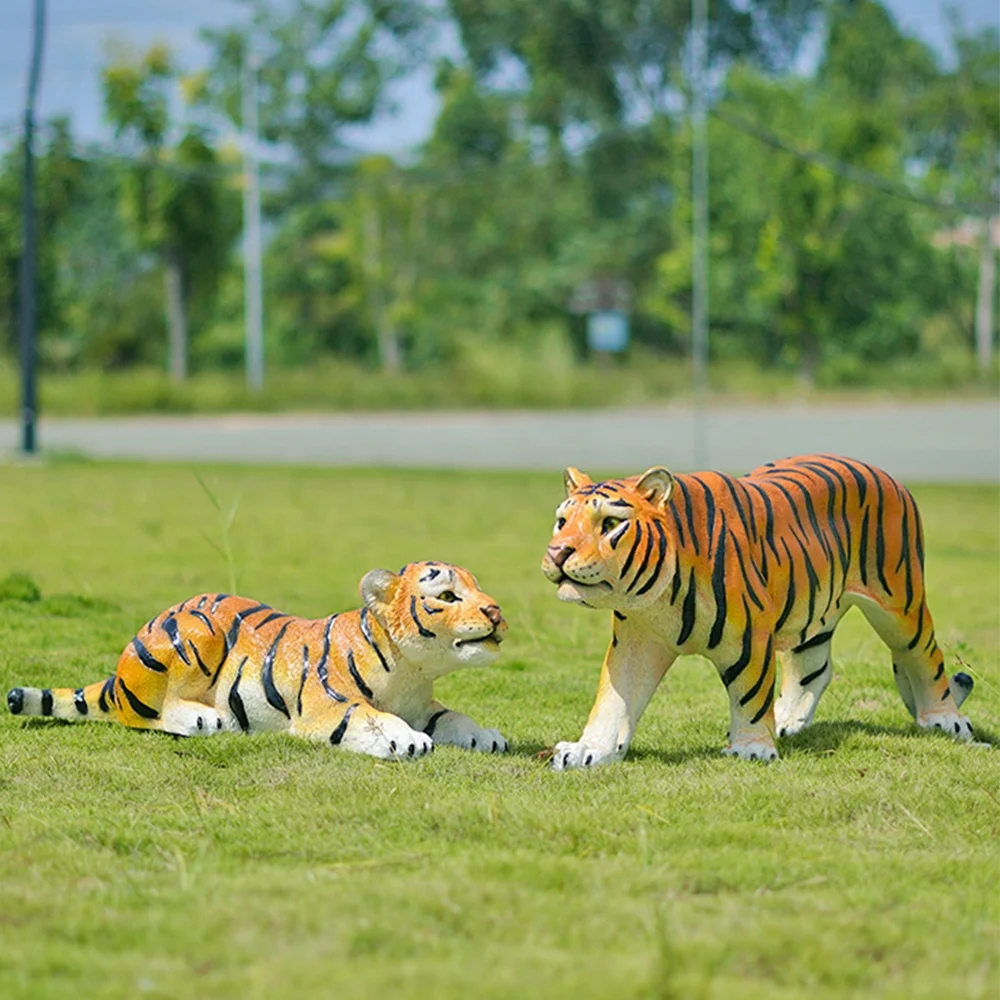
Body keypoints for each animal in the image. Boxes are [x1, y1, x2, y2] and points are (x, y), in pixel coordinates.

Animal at [7, 562, 509, 759]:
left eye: (477, 586)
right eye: (447, 595)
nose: (496, 611)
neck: (411, 669)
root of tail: (118, 672)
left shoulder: (423, 705)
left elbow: (454, 718)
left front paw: (487, 735)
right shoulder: (326, 707)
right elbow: (368, 717)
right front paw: (402, 740)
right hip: (197, 632)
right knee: (145, 713)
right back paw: (202, 718)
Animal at [541, 454, 979, 768]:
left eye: (610, 524)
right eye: (562, 521)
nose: (557, 552)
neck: (657, 594)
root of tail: (888, 475)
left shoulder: (748, 639)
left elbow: (749, 694)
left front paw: (751, 748)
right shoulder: (637, 641)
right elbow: (614, 699)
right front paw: (588, 750)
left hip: (900, 603)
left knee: (926, 655)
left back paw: (945, 720)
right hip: (812, 613)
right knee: (815, 668)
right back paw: (785, 722)